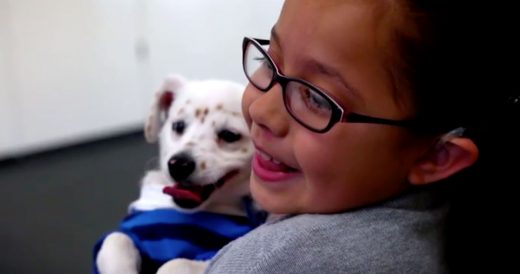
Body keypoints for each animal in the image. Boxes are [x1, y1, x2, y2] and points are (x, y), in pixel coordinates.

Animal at [93, 75, 262, 274]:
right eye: (178, 126)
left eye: (229, 135)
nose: (179, 165)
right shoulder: (132, 233)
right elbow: (115, 240)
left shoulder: (214, 252)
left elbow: (175, 264)